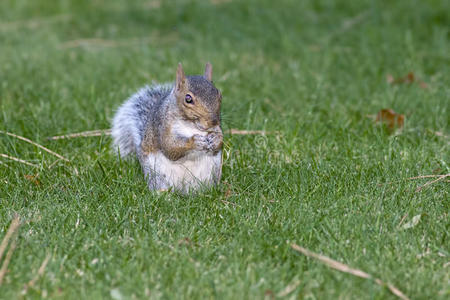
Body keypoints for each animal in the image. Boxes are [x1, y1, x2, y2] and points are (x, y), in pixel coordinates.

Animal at [111, 63, 223, 192]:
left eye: (219, 94)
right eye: (188, 99)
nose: (213, 122)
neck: (192, 126)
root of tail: (182, 189)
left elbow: (219, 141)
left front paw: (216, 139)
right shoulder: (163, 126)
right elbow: (170, 146)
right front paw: (195, 141)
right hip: (157, 174)